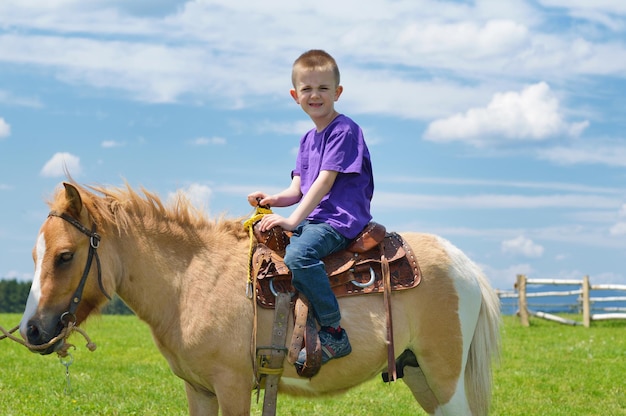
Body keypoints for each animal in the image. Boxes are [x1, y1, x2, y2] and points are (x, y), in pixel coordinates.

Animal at [18, 180, 498, 414]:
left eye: (64, 256)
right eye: (35, 255)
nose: (31, 330)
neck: (190, 279)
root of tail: (466, 265)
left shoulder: (231, 387)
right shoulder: (199, 390)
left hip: (444, 378)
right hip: (419, 375)